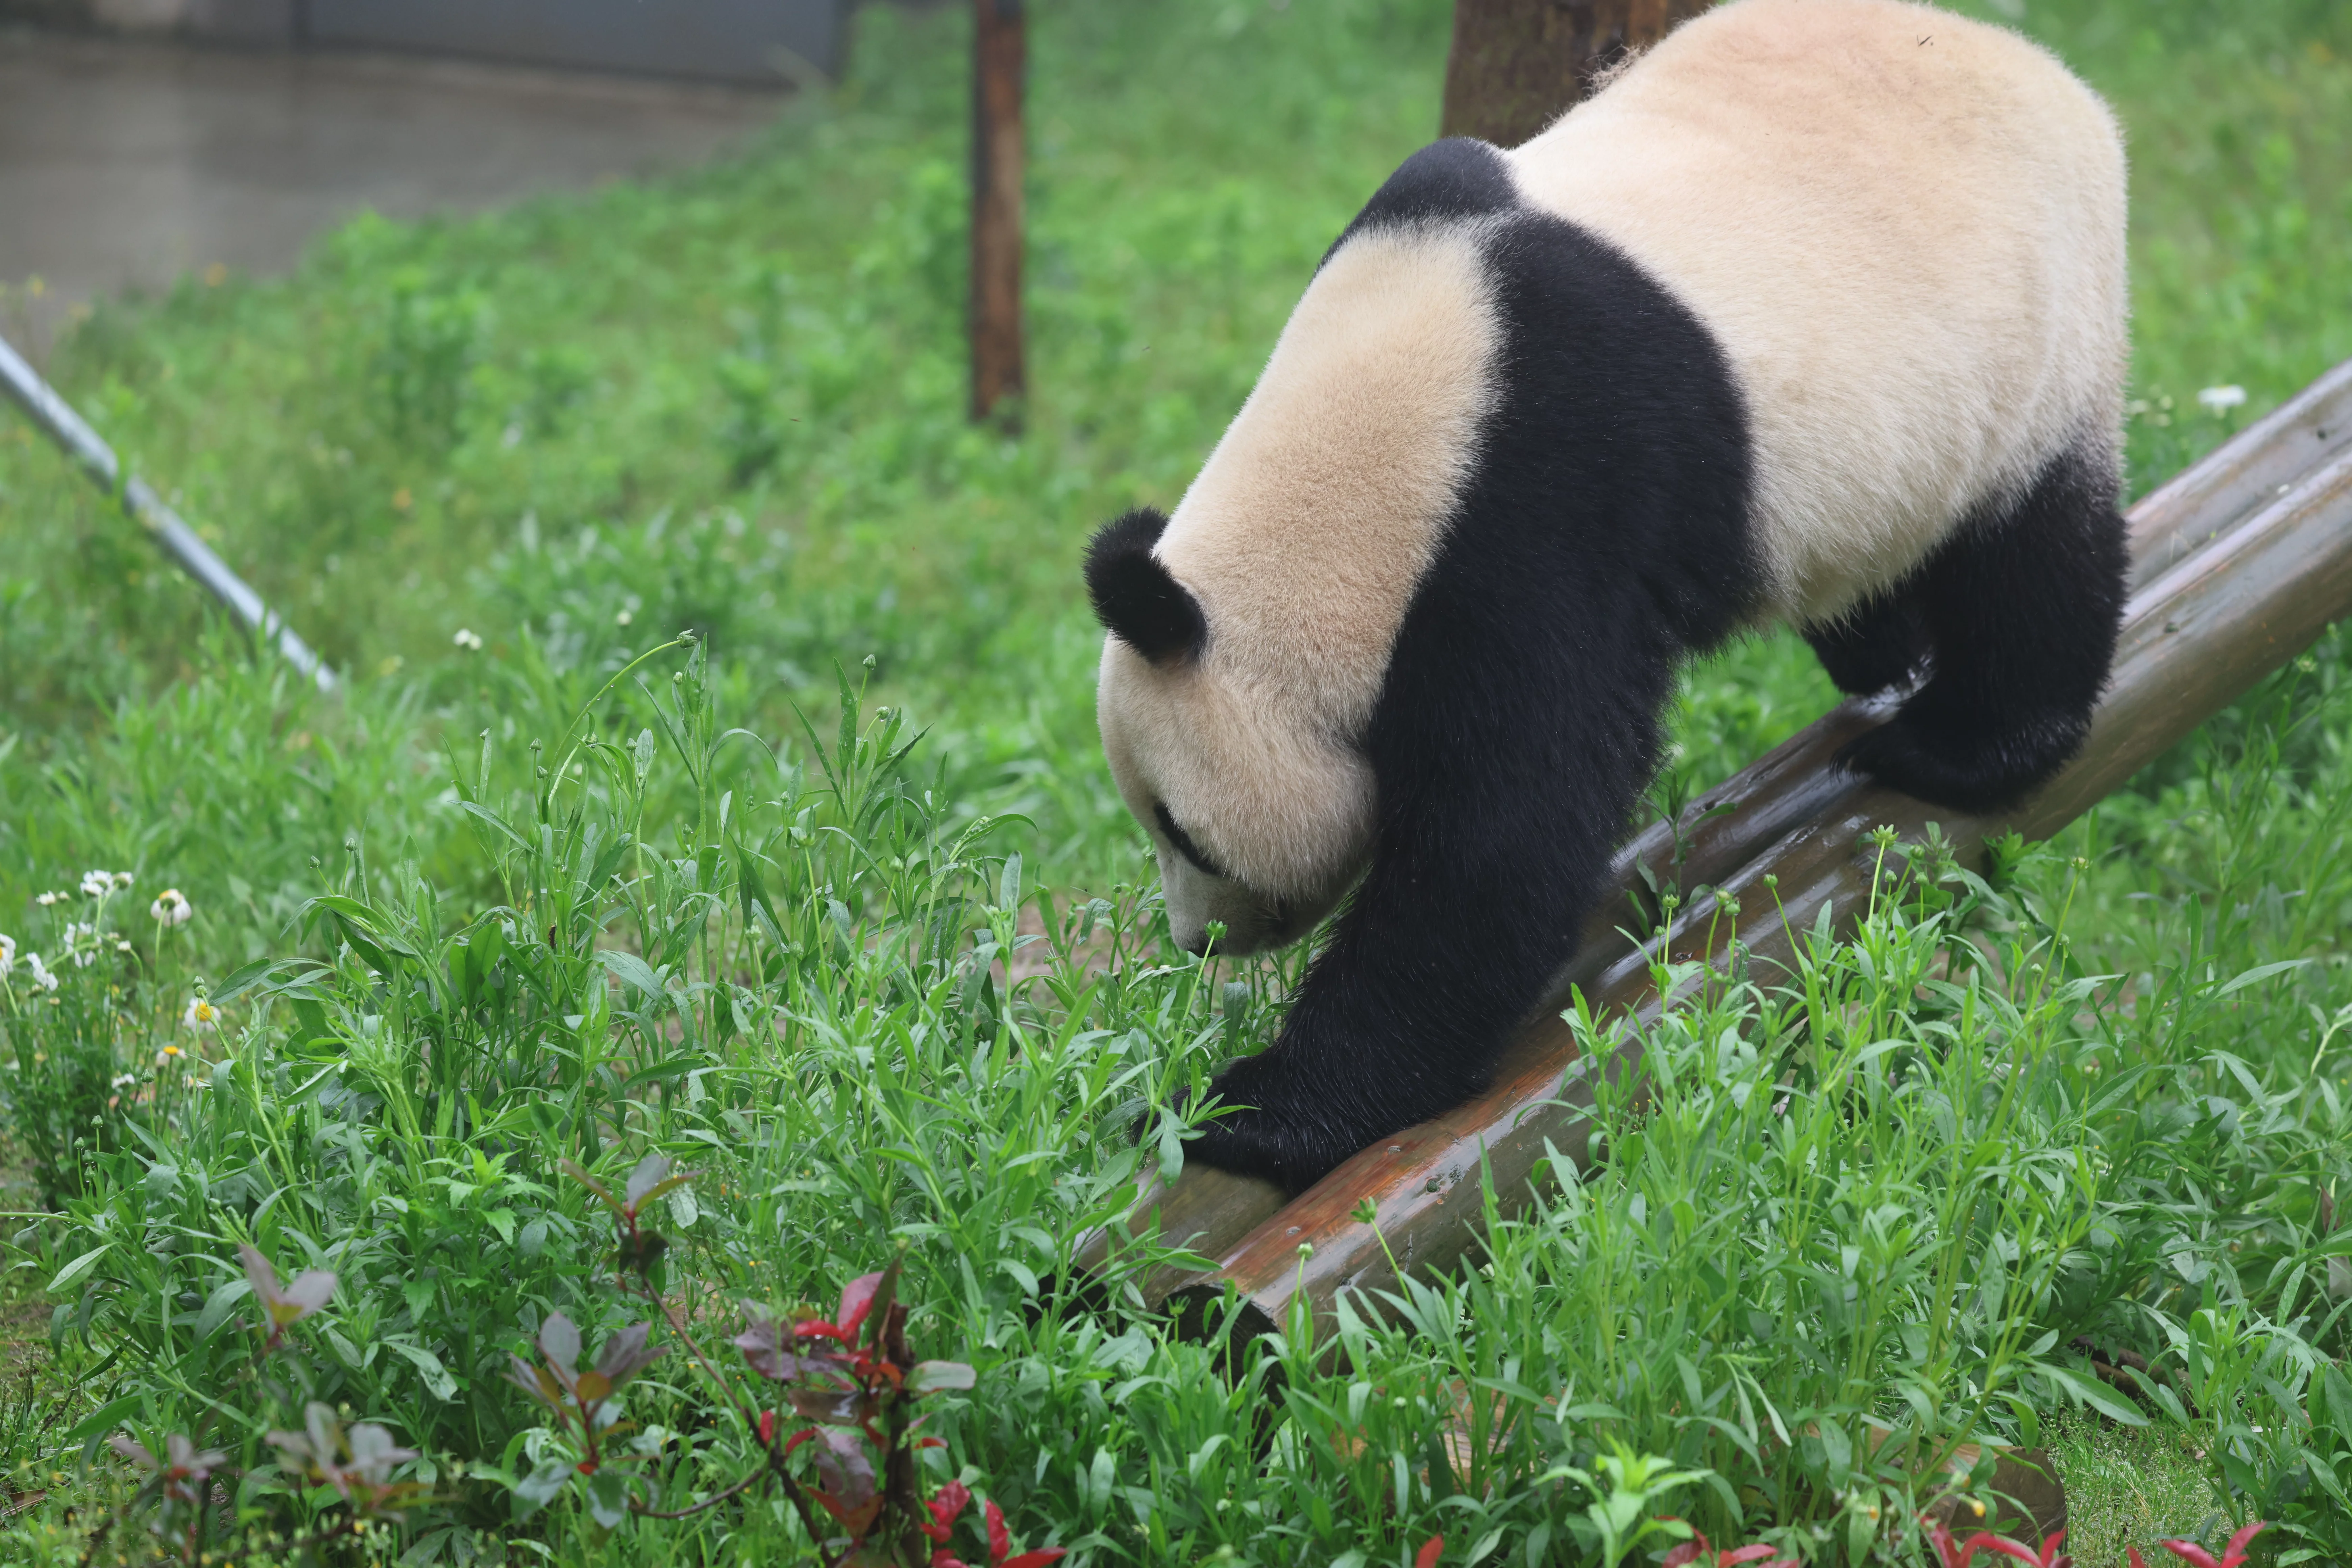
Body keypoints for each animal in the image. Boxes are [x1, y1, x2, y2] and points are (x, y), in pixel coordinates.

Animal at [1084, 0, 2129, 1193]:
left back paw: (1958, 747)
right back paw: (1881, 652)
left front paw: (1256, 1109)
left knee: (2033, 560)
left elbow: (1502, 836)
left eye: (1186, 833)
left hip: (2038, 334)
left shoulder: (1535, 517)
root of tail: (2052, 78)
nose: (1198, 940)